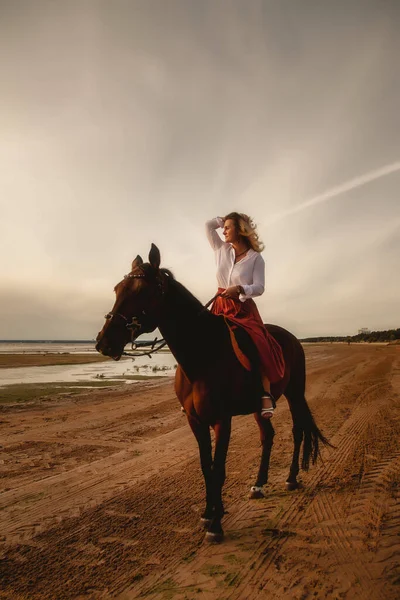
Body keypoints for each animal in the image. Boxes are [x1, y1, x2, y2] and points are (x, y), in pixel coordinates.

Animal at [95, 244, 330, 544]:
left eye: (141, 292)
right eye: (117, 289)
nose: (104, 342)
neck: (203, 353)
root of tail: (292, 339)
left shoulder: (221, 420)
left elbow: (218, 469)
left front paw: (216, 525)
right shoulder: (195, 421)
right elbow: (206, 467)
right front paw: (209, 512)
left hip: (295, 393)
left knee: (298, 430)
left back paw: (290, 478)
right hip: (260, 408)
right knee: (268, 436)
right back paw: (259, 485)